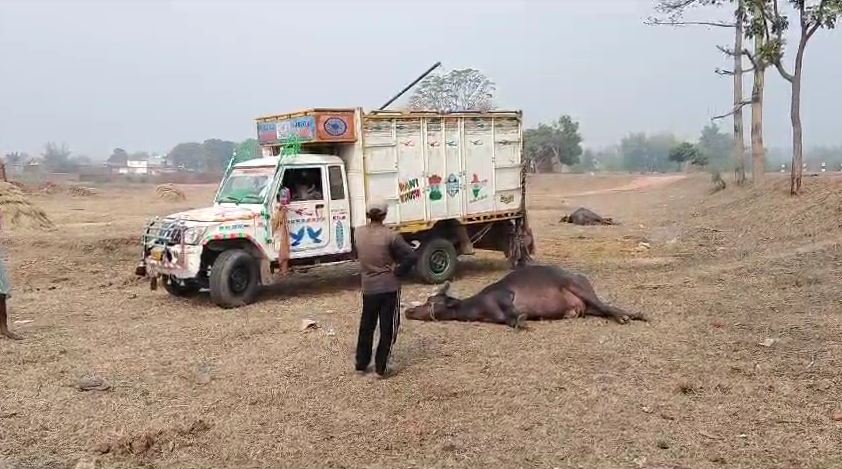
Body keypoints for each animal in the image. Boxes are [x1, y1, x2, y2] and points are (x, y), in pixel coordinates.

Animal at [404, 264, 645, 328]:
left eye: (431, 301)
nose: (408, 310)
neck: (478, 306)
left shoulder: (504, 295)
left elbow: (513, 316)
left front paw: (521, 319)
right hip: (587, 305)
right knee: (601, 309)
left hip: (579, 287)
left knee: (607, 306)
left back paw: (629, 316)